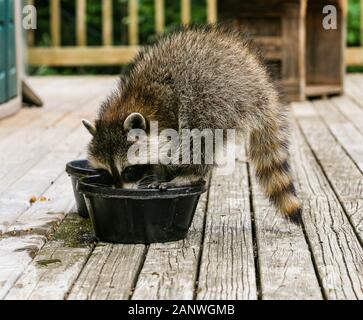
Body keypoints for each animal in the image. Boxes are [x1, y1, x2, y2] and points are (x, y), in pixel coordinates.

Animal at [84, 25, 302, 224]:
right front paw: (159, 174)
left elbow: (177, 145)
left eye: (129, 170)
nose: (120, 192)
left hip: (217, 97)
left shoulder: (168, 111)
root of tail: (260, 83)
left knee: (198, 135)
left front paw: (172, 174)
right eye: (106, 173)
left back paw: (191, 174)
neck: (132, 102)